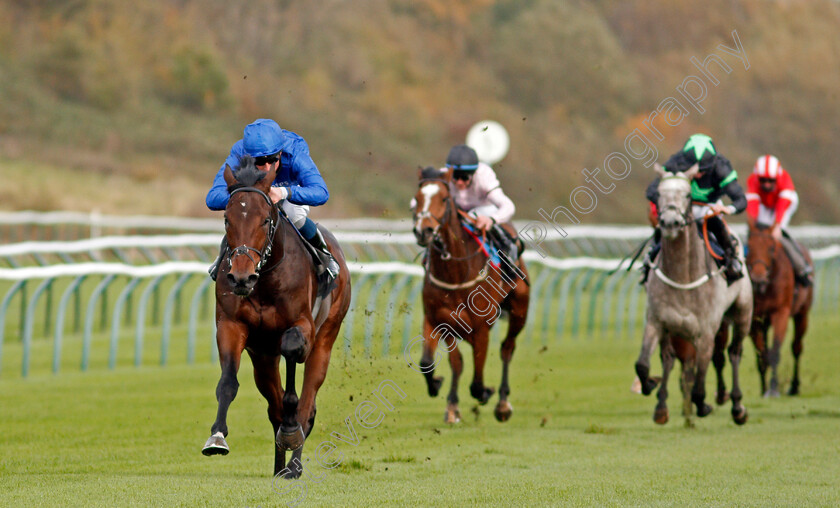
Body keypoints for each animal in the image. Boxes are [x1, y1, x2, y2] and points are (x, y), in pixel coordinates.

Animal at [636, 163, 756, 424]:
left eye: (687, 195)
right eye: (659, 194)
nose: (670, 222)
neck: (683, 276)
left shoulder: (705, 333)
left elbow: (700, 383)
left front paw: (703, 405)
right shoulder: (657, 322)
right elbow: (643, 364)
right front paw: (650, 387)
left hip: (743, 313)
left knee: (734, 353)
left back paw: (737, 406)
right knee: (671, 359)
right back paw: (663, 405)